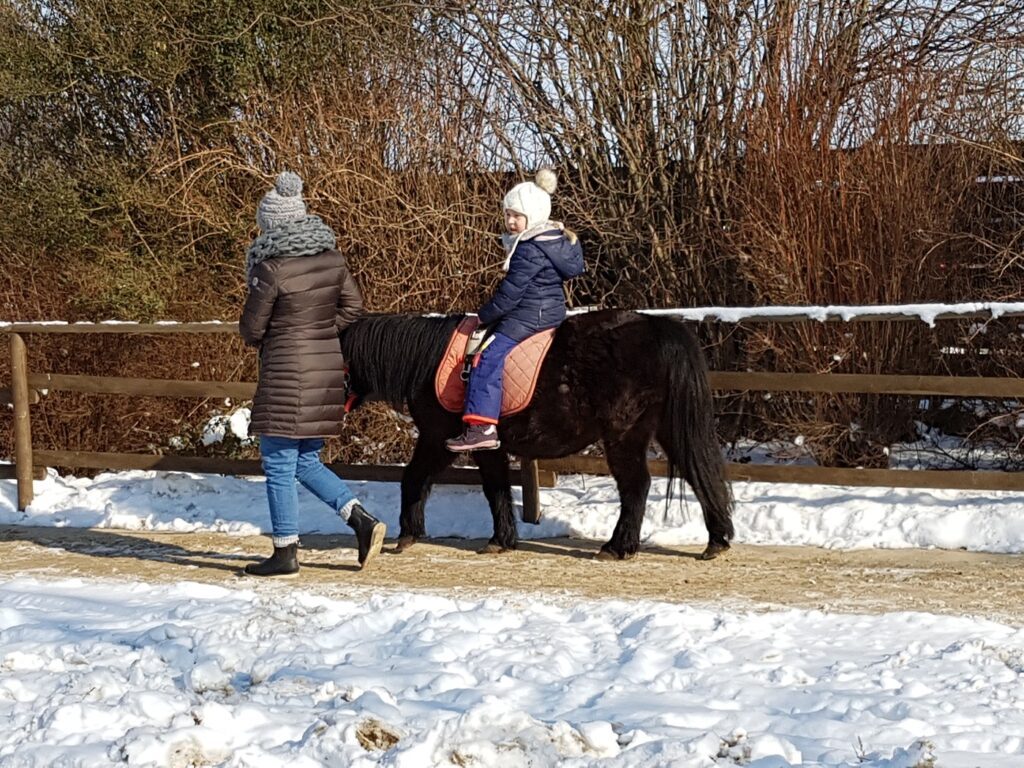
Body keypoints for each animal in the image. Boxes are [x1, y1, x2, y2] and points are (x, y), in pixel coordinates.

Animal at [339, 309, 733, 561]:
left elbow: (415, 478)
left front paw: (408, 534)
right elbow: (495, 488)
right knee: (698, 473)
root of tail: (657, 326)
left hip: (625, 434)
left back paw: (618, 547)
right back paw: (717, 540)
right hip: (664, 429)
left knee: (636, 485)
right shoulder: (484, 446)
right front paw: (502, 539)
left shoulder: (440, 439)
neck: (431, 363)